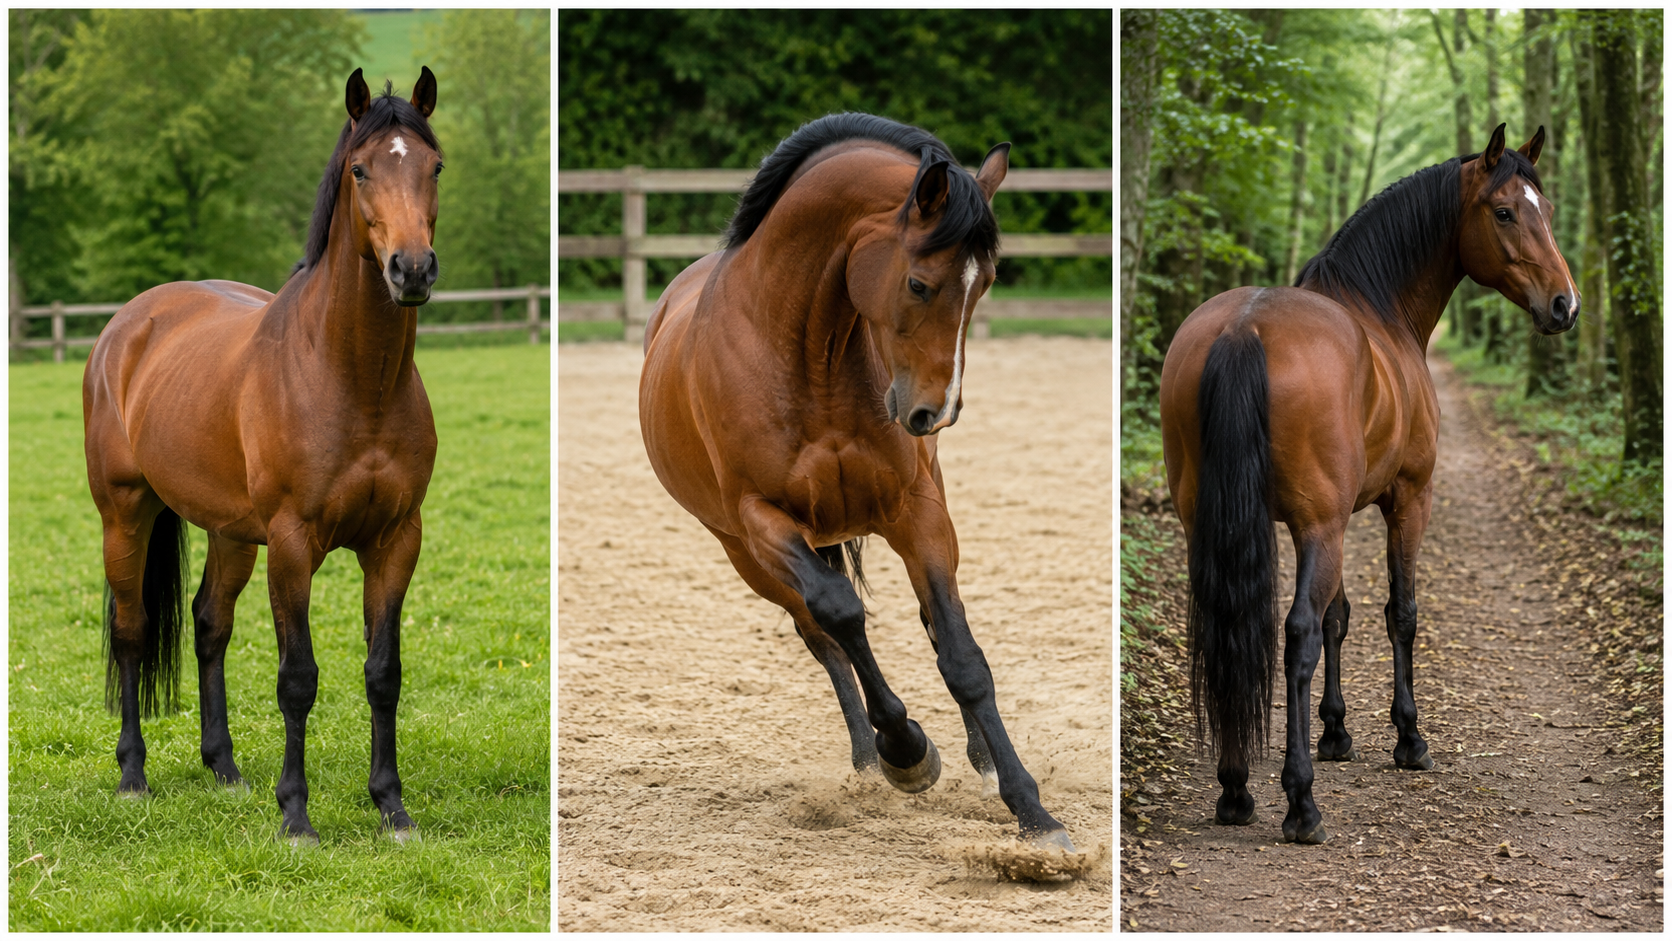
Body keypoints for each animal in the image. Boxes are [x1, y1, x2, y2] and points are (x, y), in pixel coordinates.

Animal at [82, 68, 444, 844]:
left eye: (434, 167)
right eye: (361, 169)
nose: (411, 270)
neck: (352, 379)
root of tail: (129, 324)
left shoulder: (396, 540)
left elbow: (384, 672)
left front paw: (392, 806)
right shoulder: (292, 543)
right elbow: (297, 677)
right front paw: (297, 815)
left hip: (229, 532)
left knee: (209, 623)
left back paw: (224, 768)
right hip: (125, 513)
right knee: (132, 631)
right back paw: (133, 776)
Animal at [638, 113, 1076, 853]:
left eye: (984, 284)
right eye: (920, 284)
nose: (935, 411)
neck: (804, 355)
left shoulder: (917, 510)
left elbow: (962, 654)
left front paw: (1031, 809)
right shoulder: (762, 520)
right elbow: (841, 614)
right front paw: (906, 749)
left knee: (930, 623)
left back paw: (975, 757)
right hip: (748, 554)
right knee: (822, 634)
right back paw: (872, 757)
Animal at [1159, 124, 1578, 845]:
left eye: (1544, 209)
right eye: (1504, 212)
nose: (1564, 305)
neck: (1380, 312)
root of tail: (1244, 327)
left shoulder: (1338, 515)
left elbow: (1340, 615)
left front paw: (1337, 732)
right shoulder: (1405, 500)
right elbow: (1396, 614)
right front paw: (1408, 739)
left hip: (1216, 525)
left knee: (1229, 628)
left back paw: (1236, 789)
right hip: (1321, 526)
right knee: (1294, 635)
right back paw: (1300, 803)